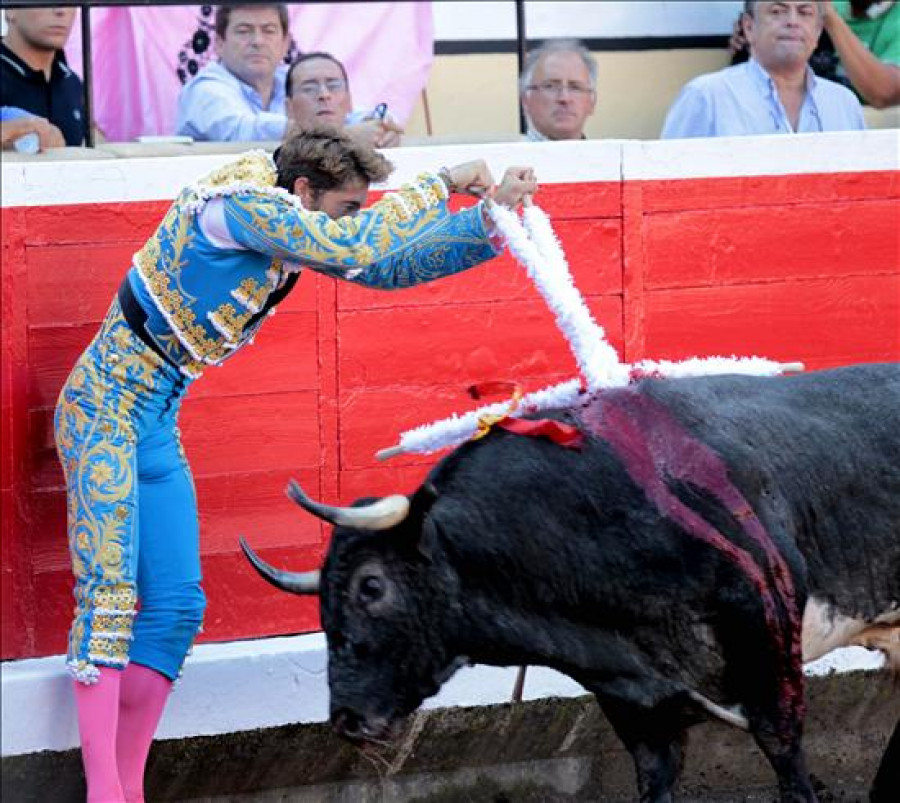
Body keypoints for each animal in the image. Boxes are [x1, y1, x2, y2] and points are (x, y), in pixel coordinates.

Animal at [241, 366, 900, 803]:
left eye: (371, 587)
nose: (348, 718)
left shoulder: (771, 669)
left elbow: (790, 770)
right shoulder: (637, 708)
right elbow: (655, 783)